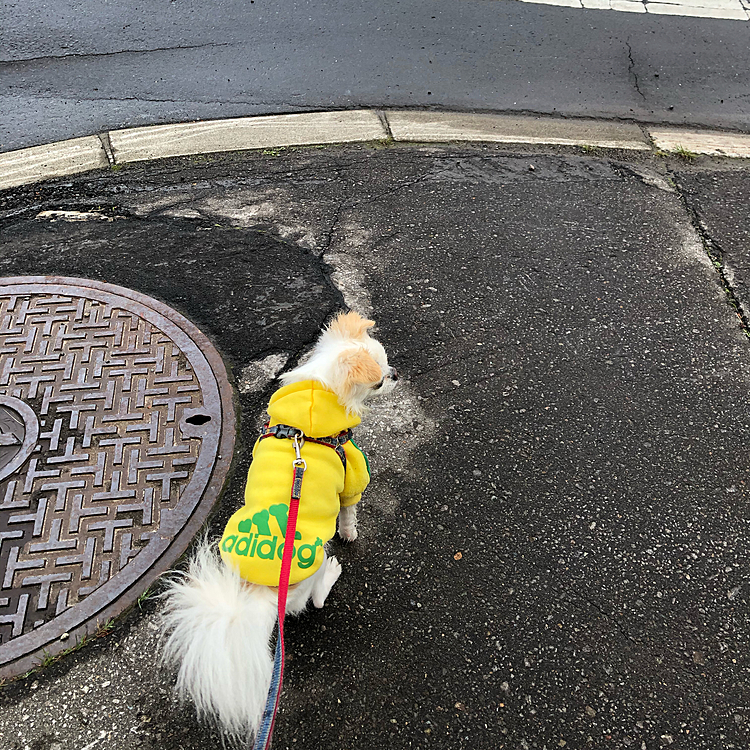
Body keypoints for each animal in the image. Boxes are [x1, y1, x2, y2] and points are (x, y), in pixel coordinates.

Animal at [159, 310, 400, 740]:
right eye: (379, 379)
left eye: (387, 364)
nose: (397, 374)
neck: (313, 409)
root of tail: (261, 592)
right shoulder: (351, 474)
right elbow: (349, 511)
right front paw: (350, 533)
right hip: (313, 563)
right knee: (312, 602)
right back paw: (332, 573)